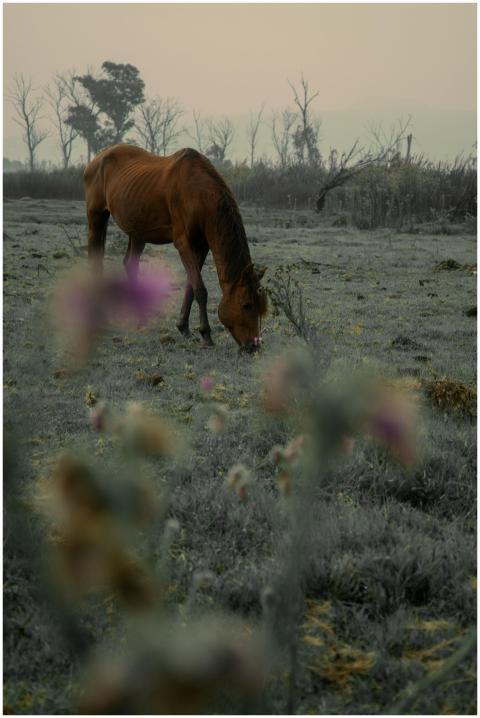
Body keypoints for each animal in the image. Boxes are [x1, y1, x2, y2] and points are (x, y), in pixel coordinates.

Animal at [83, 145, 267, 351]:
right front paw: (206, 334)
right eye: (246, 305)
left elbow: (191, 285)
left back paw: (140, 318)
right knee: (96, 262)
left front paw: (183, 327)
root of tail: (97, 159)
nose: (253, 346)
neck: (198, 193)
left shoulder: (201, 246)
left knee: (130, 264)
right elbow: (200, 289)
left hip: (138, 232)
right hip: (96, 216)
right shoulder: (183, 243)